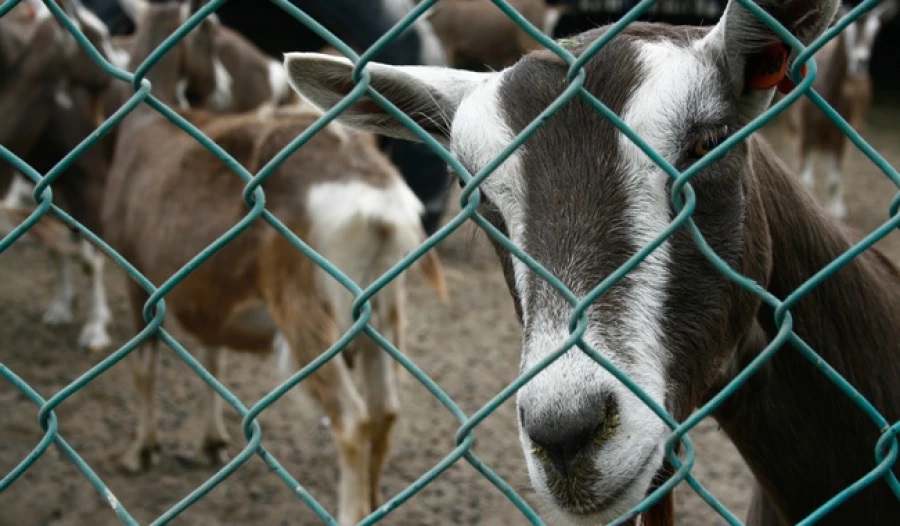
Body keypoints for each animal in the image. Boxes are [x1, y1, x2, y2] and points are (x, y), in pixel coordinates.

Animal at [788, 0, 892, 220]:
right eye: (846, 31)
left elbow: (834, 180)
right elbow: (806, 178)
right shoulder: (805, 132)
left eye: (875, 31)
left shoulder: (842, 134)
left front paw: (836, 211)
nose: (860, 63)